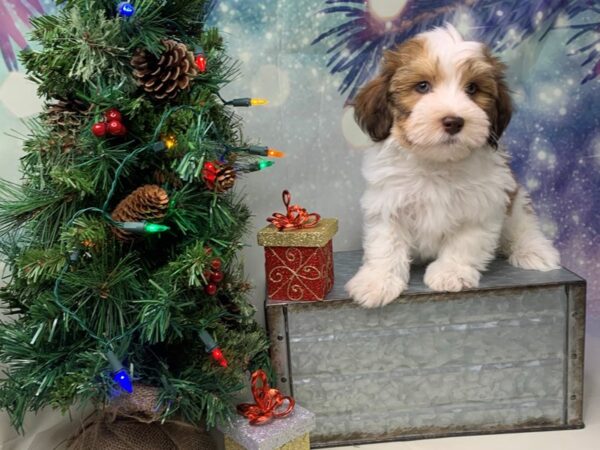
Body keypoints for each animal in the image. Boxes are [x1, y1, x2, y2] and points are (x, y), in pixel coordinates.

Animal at [344, 23, 560, 306]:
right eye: (422, 86)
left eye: (472, 89)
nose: (453, 121)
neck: (438, 163)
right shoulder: (388, 202)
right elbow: (385, 243)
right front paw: (378, 281)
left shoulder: (483, 204)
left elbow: (465, 241)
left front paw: (451, 273)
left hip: (515, 198)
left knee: (523, 224)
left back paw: (534, 250)